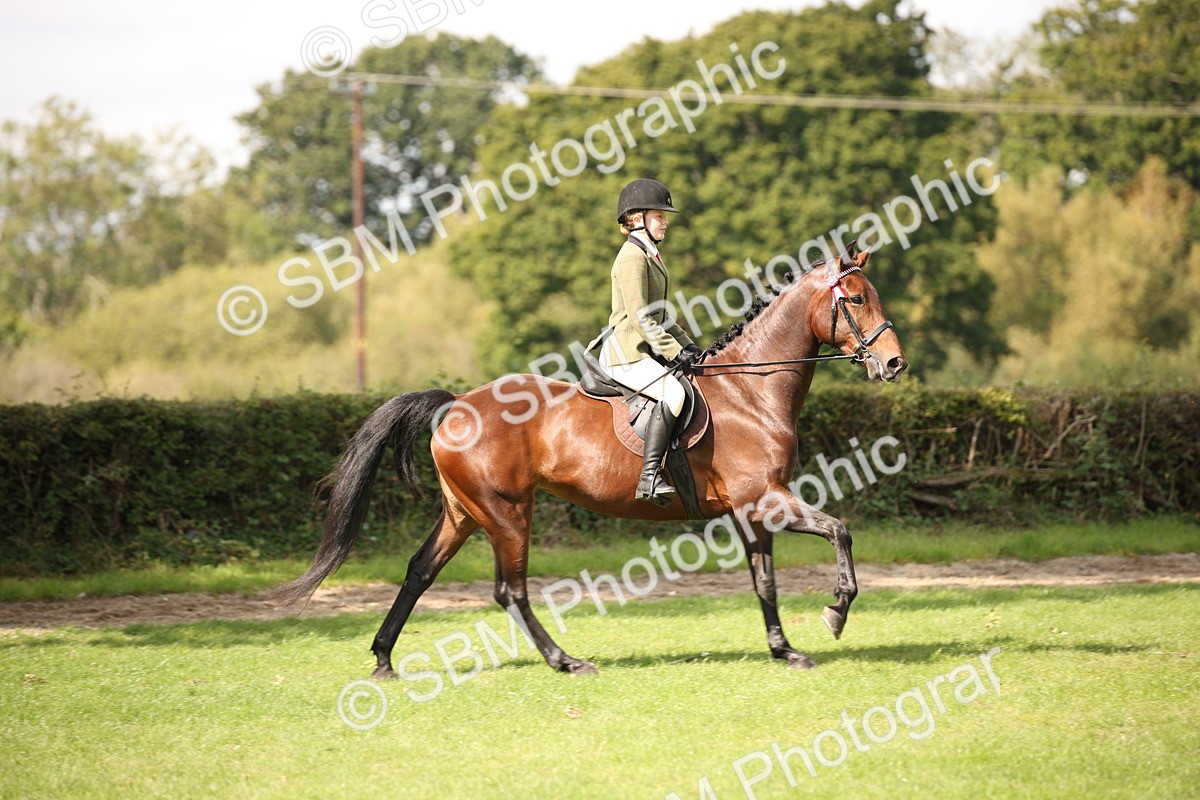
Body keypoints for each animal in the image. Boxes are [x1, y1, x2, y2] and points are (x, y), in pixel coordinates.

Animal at [275, 246, 908, 676]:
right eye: (855, 299)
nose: (895, 364)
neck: (750, 392)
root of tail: (456, 404)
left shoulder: (754, 510)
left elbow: (766, 582)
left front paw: (785, 650)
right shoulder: (768, 499)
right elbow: (840, 531)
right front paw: (836, 613)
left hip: (464, 512)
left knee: (419, 571)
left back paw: (384, 659)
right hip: (508, 514)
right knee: (511, 591)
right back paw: (565, 660)